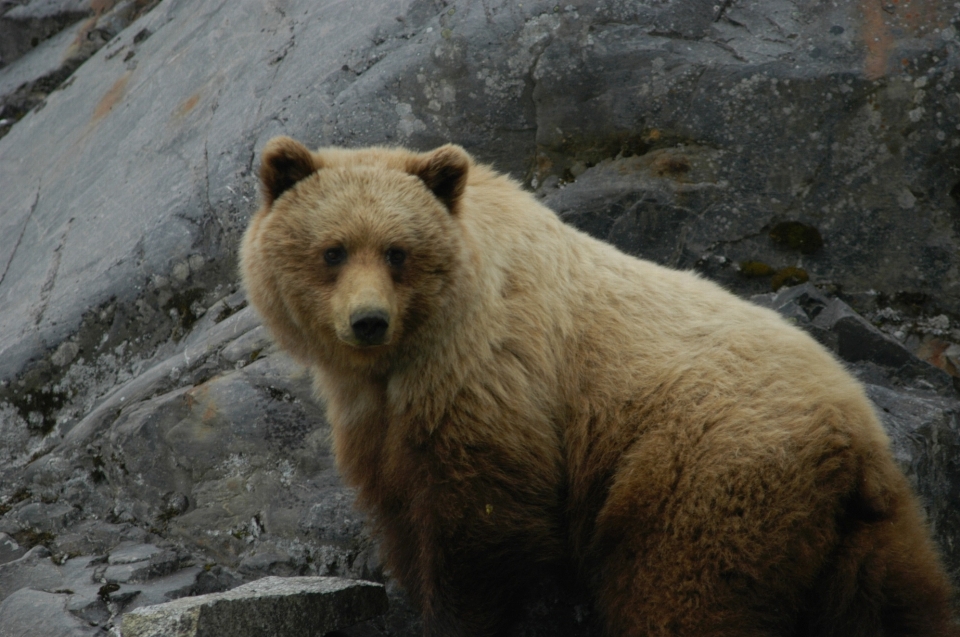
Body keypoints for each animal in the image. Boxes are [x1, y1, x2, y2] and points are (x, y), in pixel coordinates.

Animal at [242, 138, 960, 636]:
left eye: (397, 251)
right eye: (333, 250)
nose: (368, 320)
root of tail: (853, 438)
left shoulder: (492, 383)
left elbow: (477, 532)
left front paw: (457, 614)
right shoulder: (380, 421)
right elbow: (401, 511)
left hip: (702, 475)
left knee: (683, 596)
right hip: (867, 533)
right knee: (900, 603)